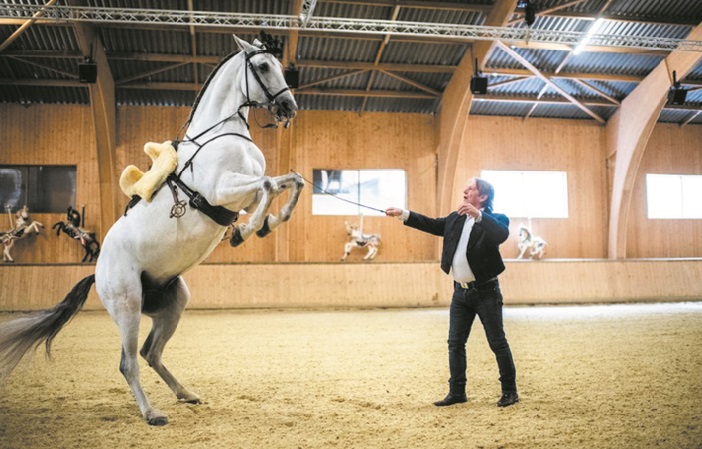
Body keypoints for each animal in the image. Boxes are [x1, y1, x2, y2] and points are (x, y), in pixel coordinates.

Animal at [0, 35, 302, 424]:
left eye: (280, 67)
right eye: (263, 67)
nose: (288, 107)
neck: (222, 135)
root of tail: (97, 273)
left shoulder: (242, 196)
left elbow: (289, 181)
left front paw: (267, 224)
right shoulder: (222, 191)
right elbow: (268, 185)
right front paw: (246, 232)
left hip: (173, 303)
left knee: (150, 353)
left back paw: (185, 393)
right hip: (128, 305)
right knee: (128, 362)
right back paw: (152, 413)